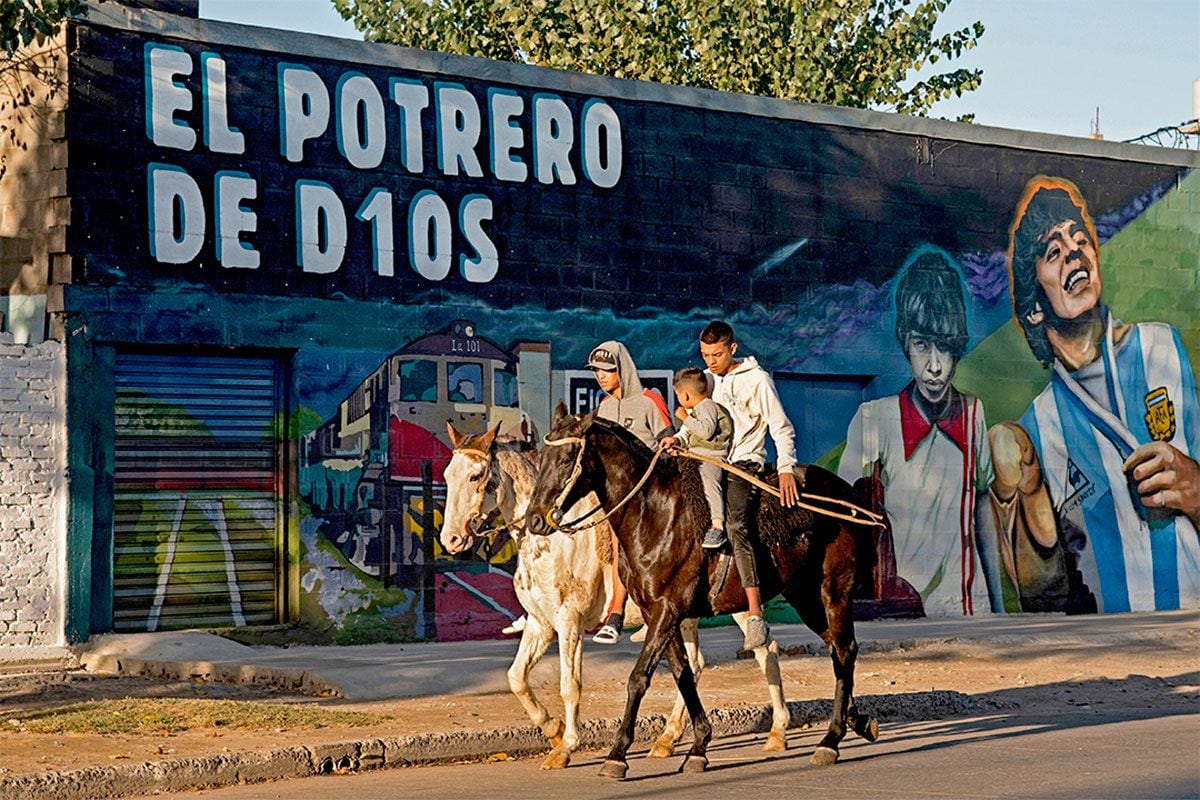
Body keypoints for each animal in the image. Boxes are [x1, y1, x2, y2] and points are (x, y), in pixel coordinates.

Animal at [436, 422, 792, 767]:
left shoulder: (569, 621)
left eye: (475, 476)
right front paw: (553, 730)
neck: (549, 542)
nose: (450, 539)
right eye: (448, 475)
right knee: (696, 664)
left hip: (737, 605)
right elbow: (516, 678)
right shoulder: (540, 623)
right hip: (683, 616)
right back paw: (668, 738)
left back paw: (777, 732)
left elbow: (570, 685)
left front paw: (567, 746)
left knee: (766, 651)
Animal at [528, 410, 883, 777]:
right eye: (541, 457)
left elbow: (639, 677)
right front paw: (698, 746)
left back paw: (830, 739)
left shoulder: (666, 610)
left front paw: (617, 755)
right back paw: (856, 722)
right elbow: (683, 674)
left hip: (833, 590)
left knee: (842, 651)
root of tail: (850, 498)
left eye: (567, 458)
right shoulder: (656, 613)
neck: (653, 514)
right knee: (838, 650)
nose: (535, 520)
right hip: (805, 597)